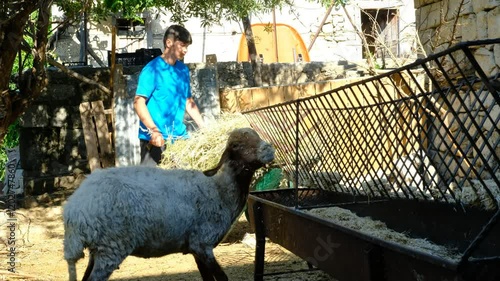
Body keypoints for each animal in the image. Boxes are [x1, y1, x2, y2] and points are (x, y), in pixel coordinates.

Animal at [63, 127, 276, 280]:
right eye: (236, 146)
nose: (269, 149)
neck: (219, 189)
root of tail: (73, 210)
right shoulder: (202, 243)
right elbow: (222, 279)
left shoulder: (195, 249)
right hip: (110, 248)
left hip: (97, 250)